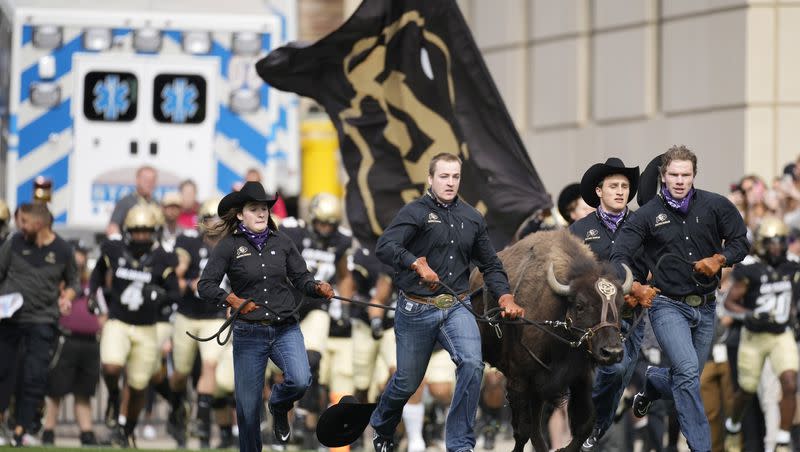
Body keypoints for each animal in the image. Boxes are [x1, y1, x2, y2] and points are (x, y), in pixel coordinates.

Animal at [468, 231, 632, 450]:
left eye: (621, 305)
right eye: (580, 305)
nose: (612, 353)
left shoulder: (579, 378)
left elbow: (585, 426)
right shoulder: (519, 380)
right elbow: (523, 430)